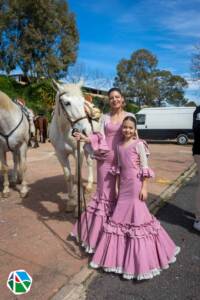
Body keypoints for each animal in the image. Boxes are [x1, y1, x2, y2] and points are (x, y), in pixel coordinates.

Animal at [49, 79, 99, 211]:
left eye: (82, 102)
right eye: (67, 103)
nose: (86, 130)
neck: (64, 131)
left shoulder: (78, 152)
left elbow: (77, 177)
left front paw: (79, 202)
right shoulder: (60, 154)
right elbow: (68, 176)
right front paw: (71, 201)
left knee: (90, 163)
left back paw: (89, 186)